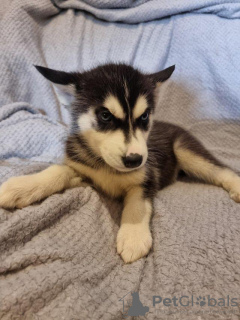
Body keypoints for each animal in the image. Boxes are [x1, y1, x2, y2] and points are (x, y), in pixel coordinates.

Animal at [0, 63, 240, 262]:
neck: (107, 166)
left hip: (184, 149)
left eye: (144, 117)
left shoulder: (147, 177)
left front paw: (133, 236)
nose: (135, 160)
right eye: (105, 116)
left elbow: (137, 204)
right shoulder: (82, 168)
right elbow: (57, 171)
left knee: (221, 169)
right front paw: (21, 186)